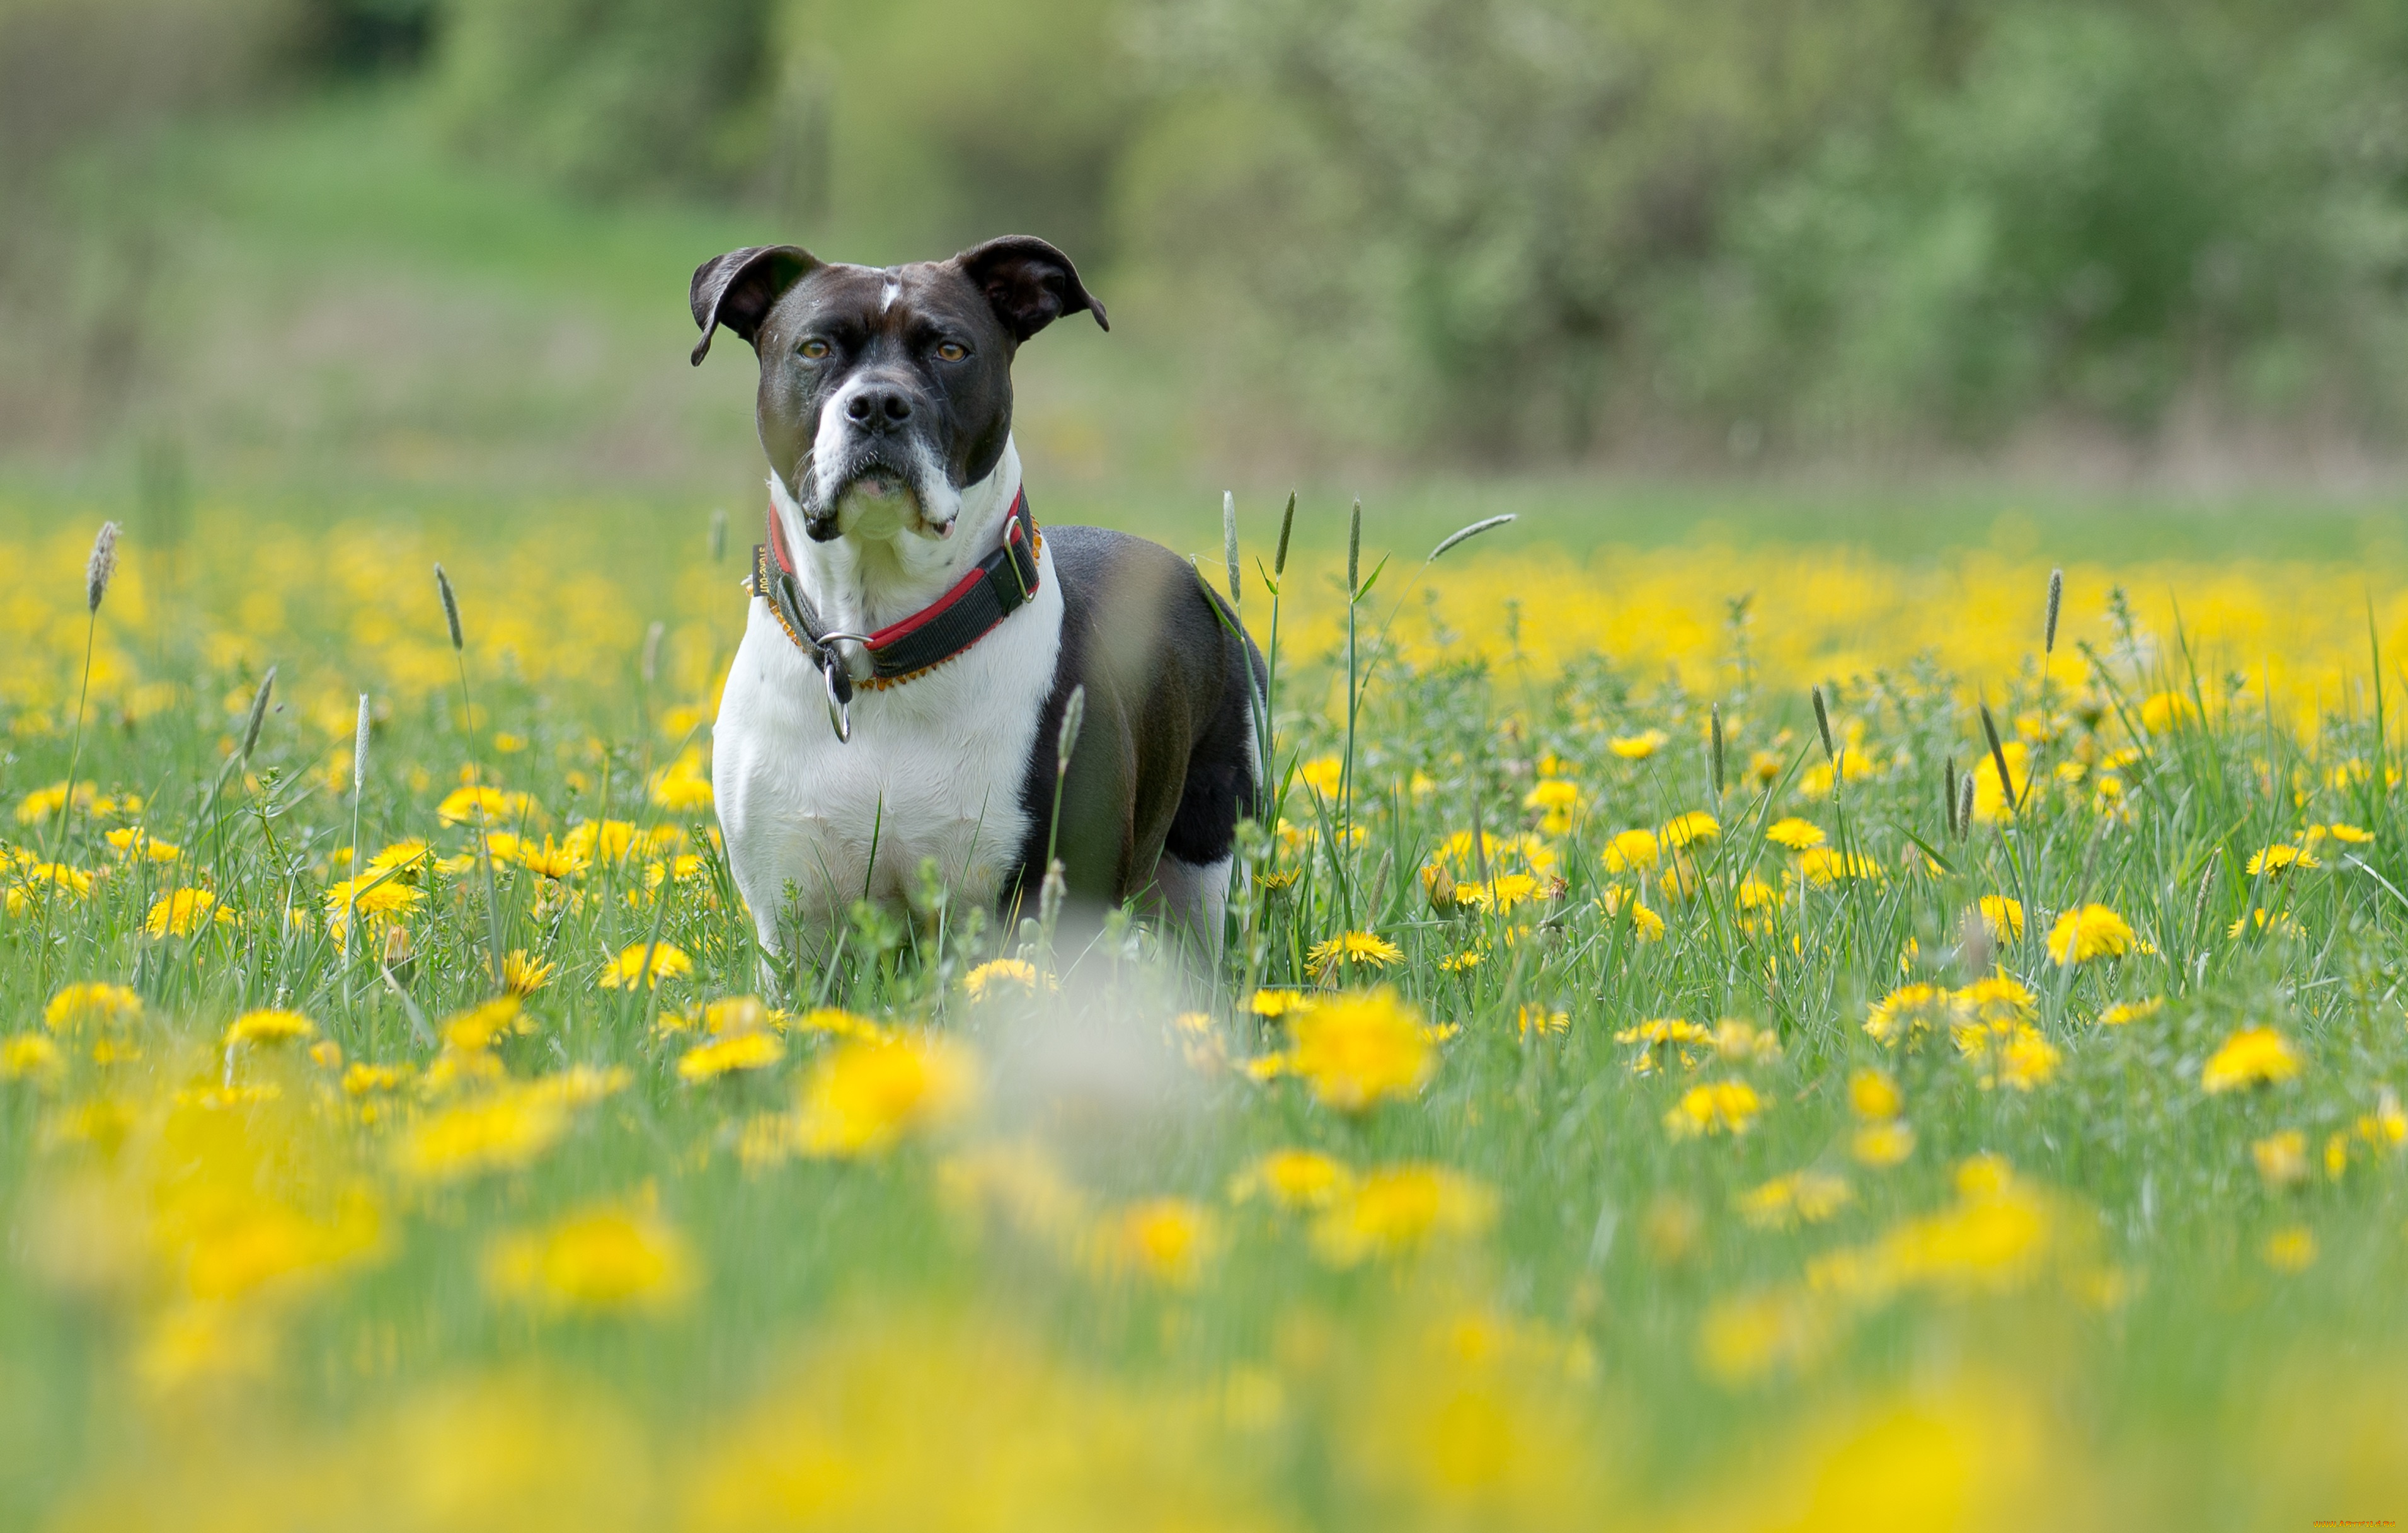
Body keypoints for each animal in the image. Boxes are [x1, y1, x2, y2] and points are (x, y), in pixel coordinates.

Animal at [689, 236, 1261, 958]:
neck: (876, 651)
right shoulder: (798, 926)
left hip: (1212, 872)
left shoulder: (1052, 902)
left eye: (951, 350)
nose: (879, 404)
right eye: (815, 348)